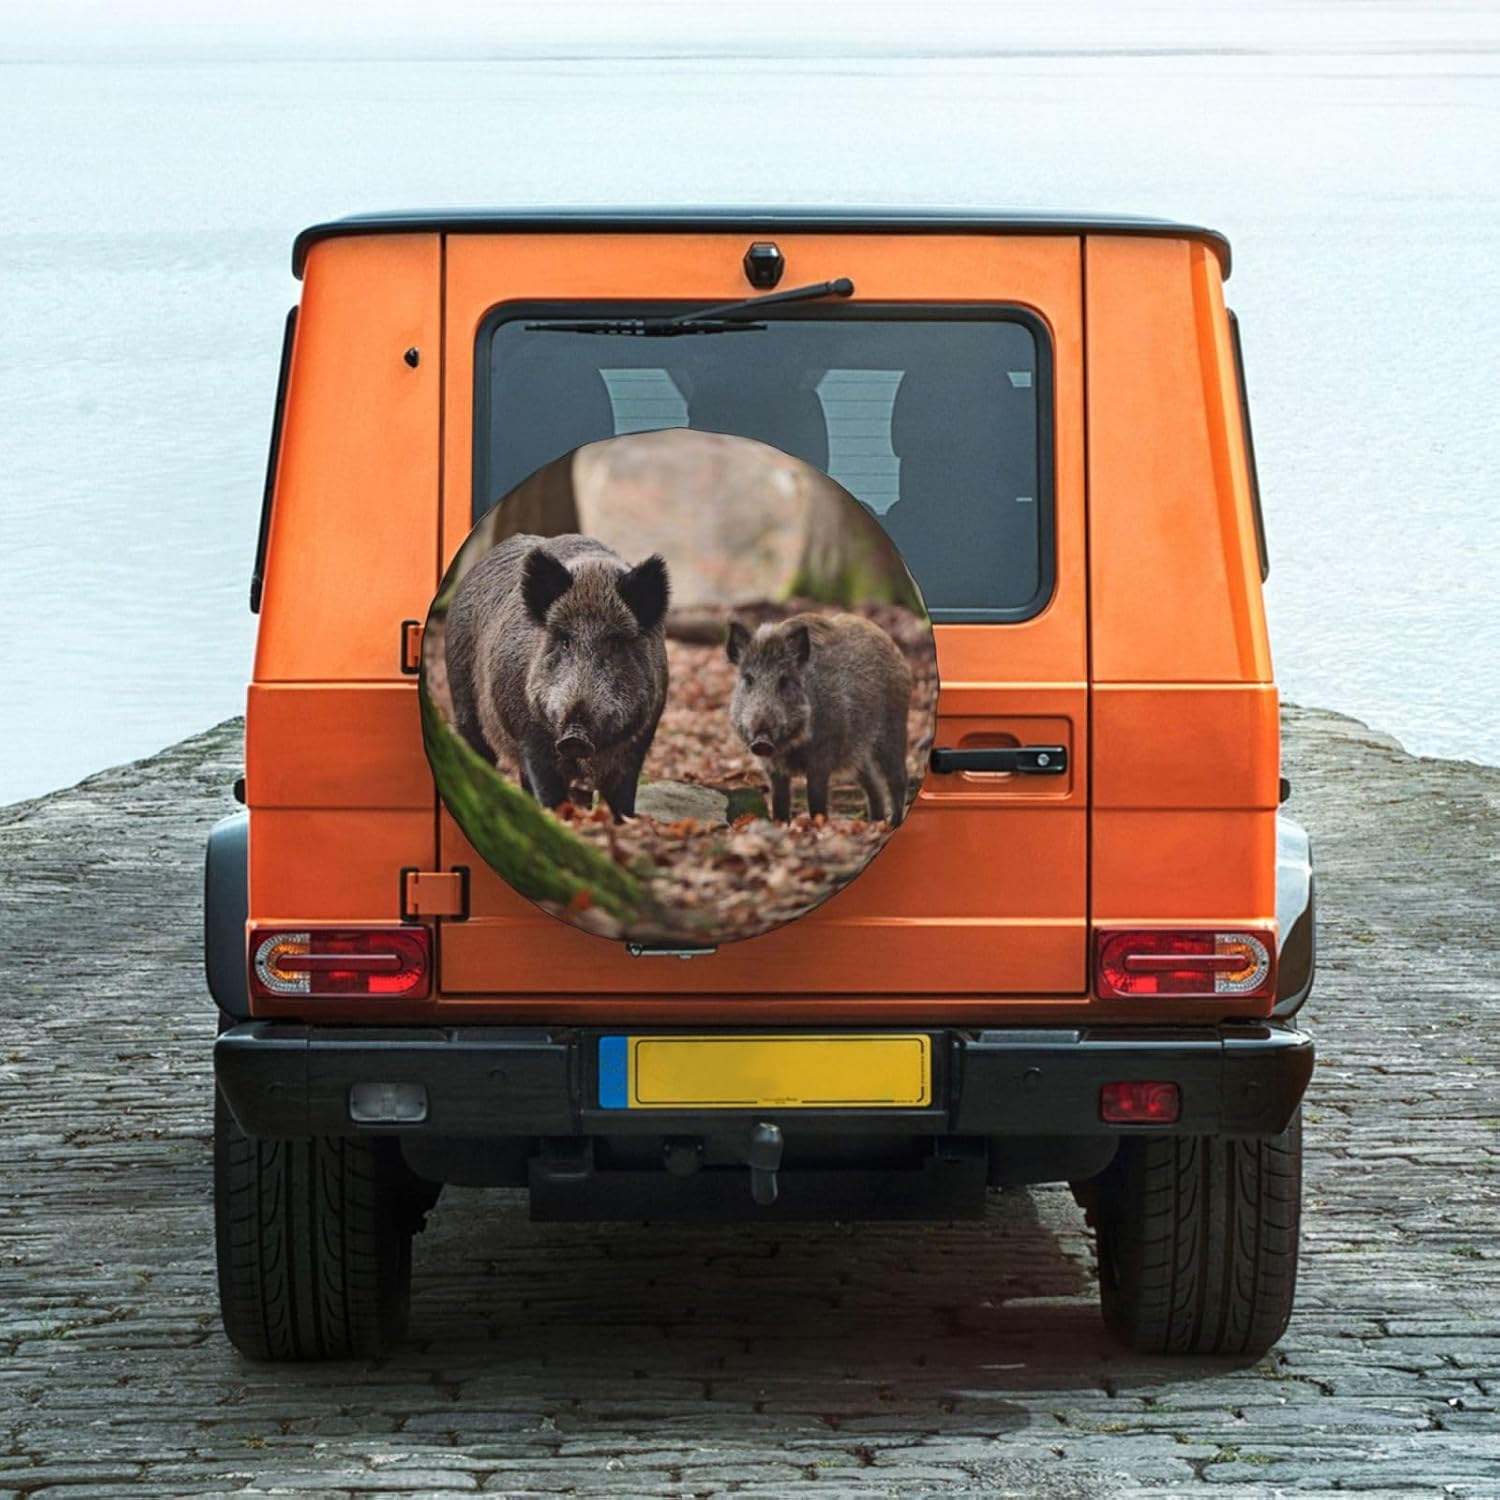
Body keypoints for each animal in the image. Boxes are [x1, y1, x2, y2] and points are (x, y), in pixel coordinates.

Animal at [444, 532, 669, 820]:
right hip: (462, 695)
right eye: (564, 641)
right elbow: (549, 790)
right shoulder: (530, 734)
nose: (575, 737)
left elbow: (622, 797)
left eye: (616, 643)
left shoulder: (639, 740)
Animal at [726, 612, 911, 826]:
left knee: (898, 778)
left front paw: (818, 826)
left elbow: (816, 800)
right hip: (859, 753)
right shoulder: (771, 767)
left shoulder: (822, 758)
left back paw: (893, 823)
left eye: (784, 680)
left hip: (893, 730)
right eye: (748, 679)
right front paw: (781, 825)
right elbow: (779, 802)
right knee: (873, 784)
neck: (790, 747)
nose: (762, 739)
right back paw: (876, 822)